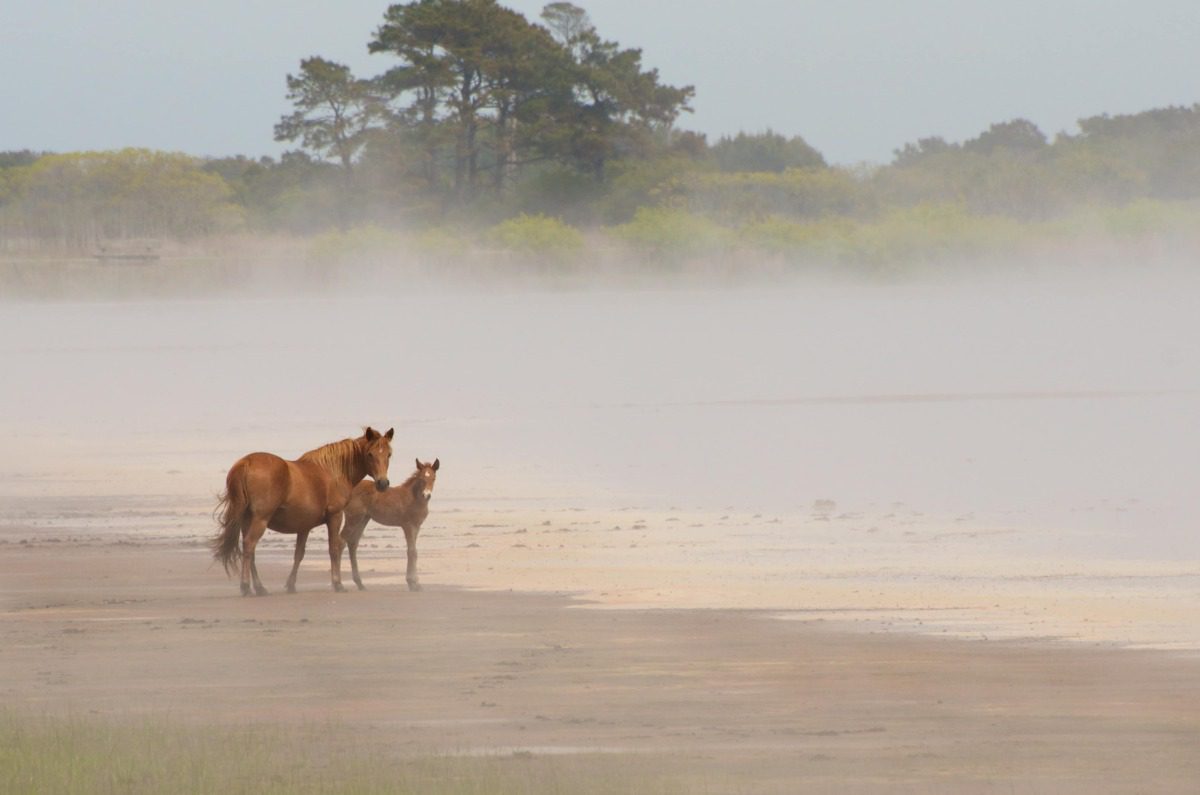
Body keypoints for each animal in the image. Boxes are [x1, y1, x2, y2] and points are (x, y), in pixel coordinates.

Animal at [211, 427, 394, 596]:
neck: (333, 472)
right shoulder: (335, 516)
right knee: (249, 546)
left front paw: (291, 585)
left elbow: (299, 554)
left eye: (389, 454)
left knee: (250, 550)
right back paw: (246, 586)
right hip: (260, 520)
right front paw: (338, 584)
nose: (382, 483)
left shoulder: (304, 526)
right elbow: (334, 549)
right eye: (370, 454)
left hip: (246, 520)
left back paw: (259, 587)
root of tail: (246, 462)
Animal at [341, 458, 439, 591]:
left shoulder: (416, 526)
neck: (414, 498)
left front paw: (416, 583)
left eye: (433, 478)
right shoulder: (408, 526)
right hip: (353, 518)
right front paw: (412, 583)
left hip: (363, 519)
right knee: (341, 541)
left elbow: (414, 552)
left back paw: (360, 583)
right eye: (421, 479)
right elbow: (412, 551)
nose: (427, 495)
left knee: (352, 543)